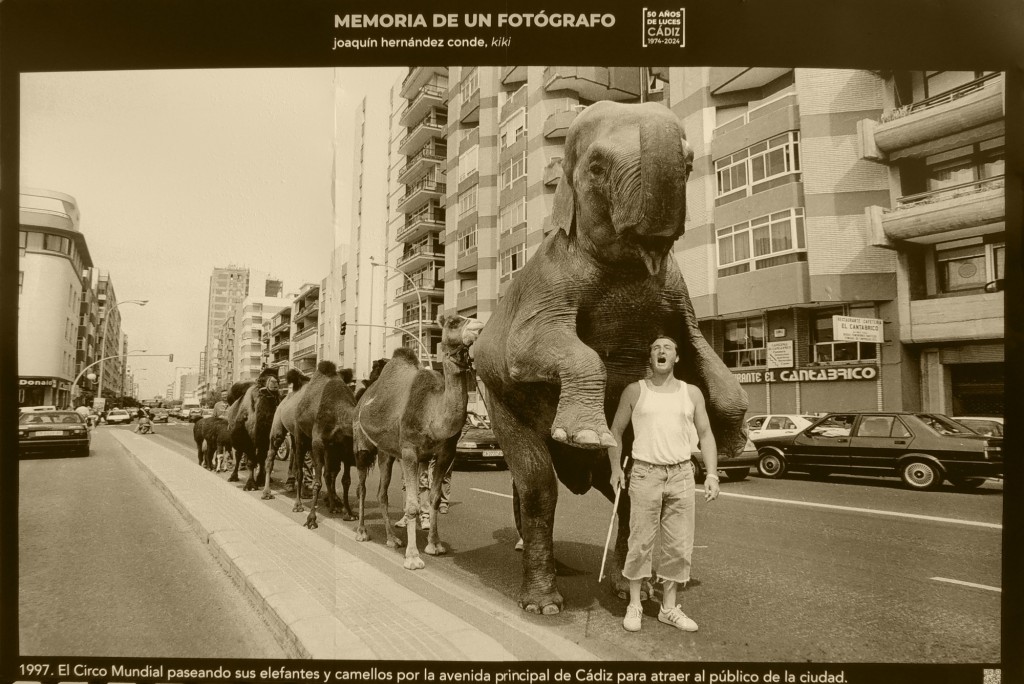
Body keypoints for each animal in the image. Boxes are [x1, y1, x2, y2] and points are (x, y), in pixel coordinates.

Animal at [294, 358, 358, 528]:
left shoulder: (345, 447)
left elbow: (346, 481)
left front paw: (349, 513)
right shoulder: (318, 442)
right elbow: (317, 482)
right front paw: (311, 518)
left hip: (331, 448)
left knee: (329, 474)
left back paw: (333, 506)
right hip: (300, 436)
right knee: (299, 470)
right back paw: (298, 505)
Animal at [352, 315, 483, 573]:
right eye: (454, 322)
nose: (478, 324)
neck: (433, 411)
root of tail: (363, 398)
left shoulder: (443, 454)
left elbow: (433, 498)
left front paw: (435, 545)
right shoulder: (410, 451)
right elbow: (412, 505)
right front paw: (412, 557)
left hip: (386, 453)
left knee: (382, 492)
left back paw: (392, 539)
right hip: (362, 445)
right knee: (362, 487)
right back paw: (362, 532)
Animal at [475, 100, 749, 614]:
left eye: (689, 164)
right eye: (597, 168)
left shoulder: (678, 294)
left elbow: (702, 350)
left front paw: (734, 444)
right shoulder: (548, 282)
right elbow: (531, 346)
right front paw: (583, 434)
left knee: (621, 489)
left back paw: (625, 588)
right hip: (496, 398)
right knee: (537, 485)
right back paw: (544, 601)